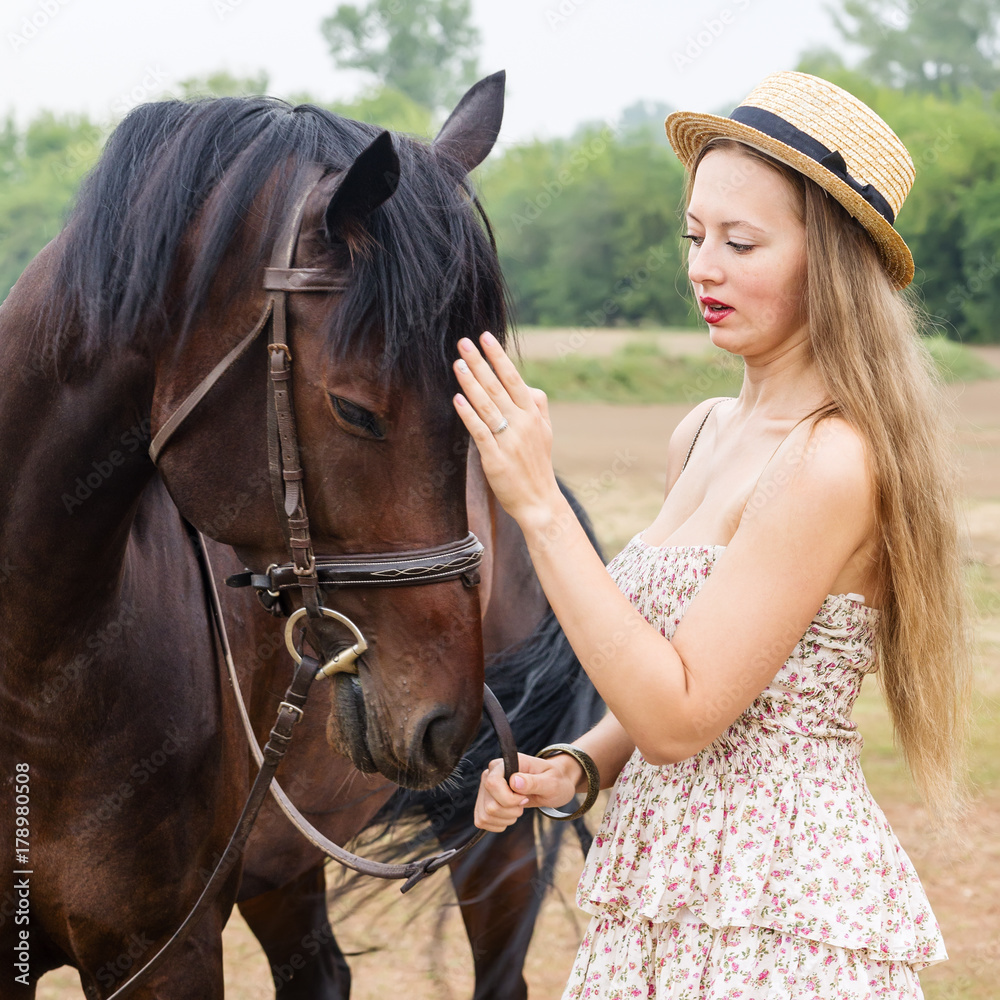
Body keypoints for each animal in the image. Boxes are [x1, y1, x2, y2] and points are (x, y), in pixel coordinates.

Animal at [0, 71, 602, 999]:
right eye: (355, 409)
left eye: (473, 400)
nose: (447, 720)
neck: (38, 675)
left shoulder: (168, 952)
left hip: (487, 841)